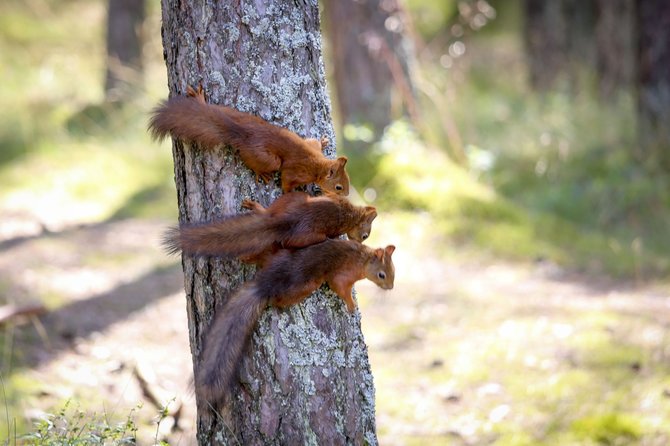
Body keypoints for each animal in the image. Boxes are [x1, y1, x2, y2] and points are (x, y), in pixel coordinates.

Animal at [148, 85, 352, 193]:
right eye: (339, 187)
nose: (346, 196)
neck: (319, 164)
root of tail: (241, 132)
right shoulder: (297, 170)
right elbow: (286, 180)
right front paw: (291, 192)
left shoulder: (312, 147)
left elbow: (314, 142)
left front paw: (324, 142)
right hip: (268, 159)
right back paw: (261, 172)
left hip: (238, 114)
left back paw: (200, 101)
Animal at [163, 191, 378, 262]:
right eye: (365, 235)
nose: (360, 243)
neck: (351, 214)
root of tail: (287, 221)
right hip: (309, 235)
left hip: (290, 199)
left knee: (268, 213)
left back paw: (255, 207)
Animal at [194, 239, 396, 410]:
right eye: (382, 275)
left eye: (394, 271)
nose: (391, 288)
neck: (361, 258)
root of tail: (264, 286)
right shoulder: (342, 275)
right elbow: (340, 287)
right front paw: (352, 306)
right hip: (305, 286)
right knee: (278, 300)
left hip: (280, 255)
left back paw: (248, 257)